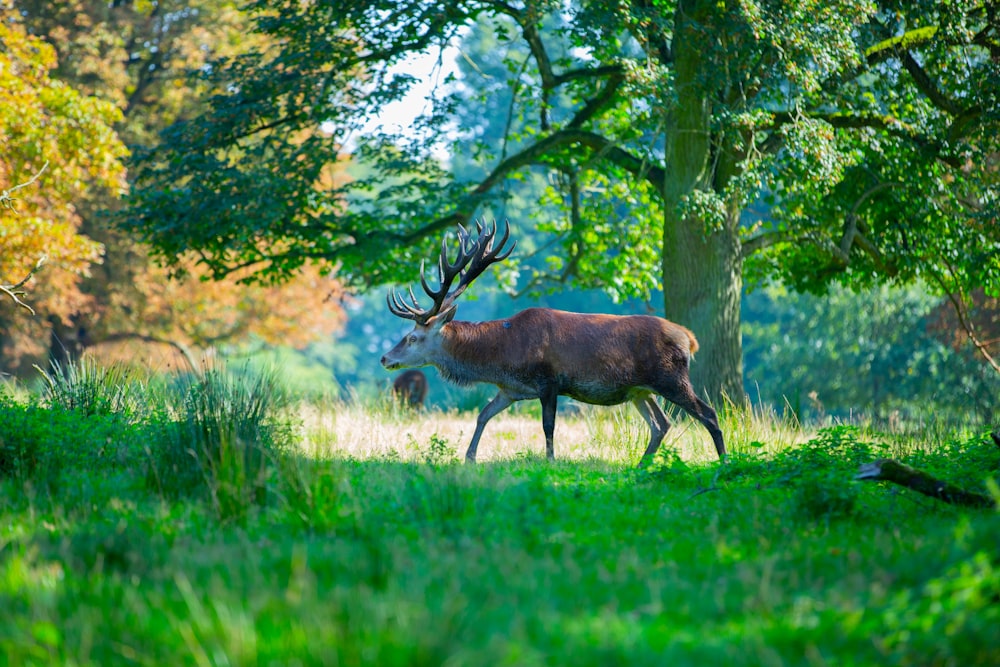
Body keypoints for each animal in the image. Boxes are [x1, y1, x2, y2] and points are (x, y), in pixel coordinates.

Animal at [378, 222, 724, 468]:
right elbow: (483, 415)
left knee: (707, 413)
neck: (503, 357)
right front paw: (469, 457)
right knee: (661, 424)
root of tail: (689, 338)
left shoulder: (549, 381)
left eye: (412, 338)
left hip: (671, 378)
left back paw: (724, 462)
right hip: (640, 390)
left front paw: (550, 462)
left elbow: (547, 426)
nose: (384, 358)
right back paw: (641, 467)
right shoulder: (510, 390)